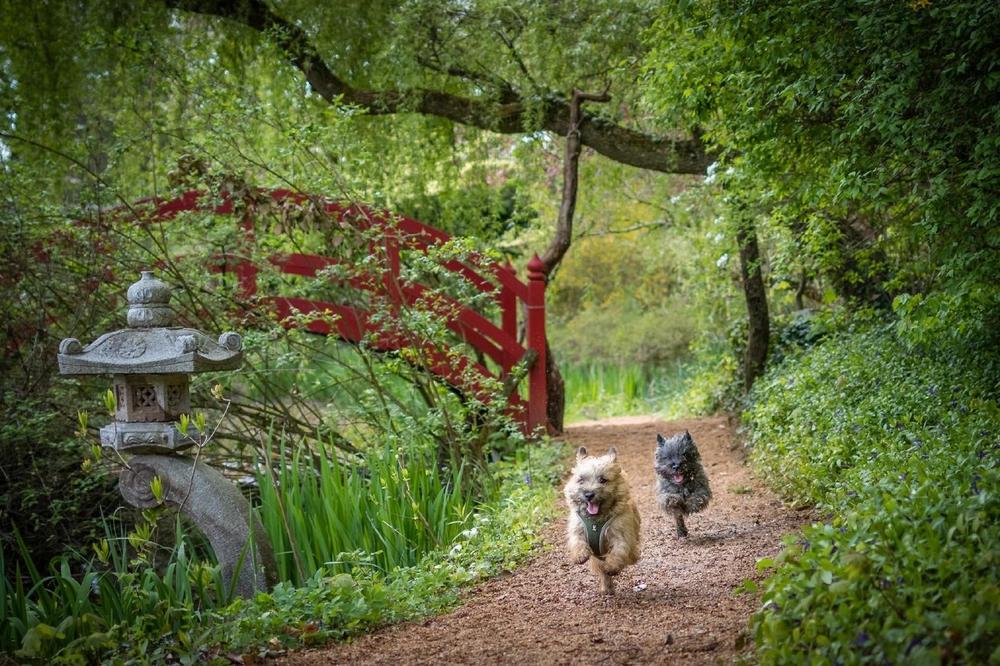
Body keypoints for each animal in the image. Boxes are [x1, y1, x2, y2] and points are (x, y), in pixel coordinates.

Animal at [564, 446, 640, 592]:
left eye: (603, 480)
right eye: (581, 480)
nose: (589, 494)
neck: (595, 521)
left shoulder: (621, 533)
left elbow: (619, 550)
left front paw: (612, 566)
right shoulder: (578, 527)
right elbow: (577, 540)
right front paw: (580, 555)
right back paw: (607, 587)